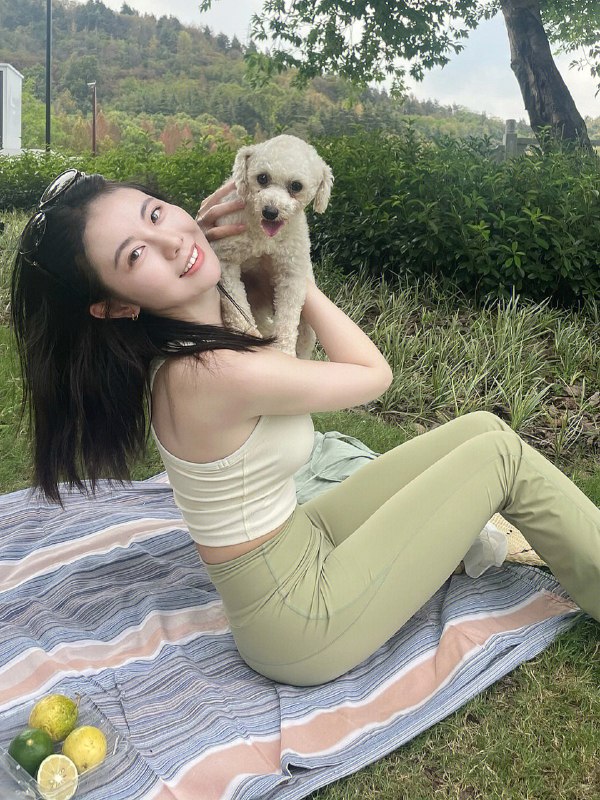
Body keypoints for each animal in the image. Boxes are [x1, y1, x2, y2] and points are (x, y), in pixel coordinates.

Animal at [197, 135, 333, 358]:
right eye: (262, 178)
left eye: (296, 186)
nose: (270, 211)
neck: (263, 237)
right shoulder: (225, 260)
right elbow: (236, 307)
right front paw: (247, 336)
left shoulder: (291, 273)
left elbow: (288, 318)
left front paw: (284, 352)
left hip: (307, 331)